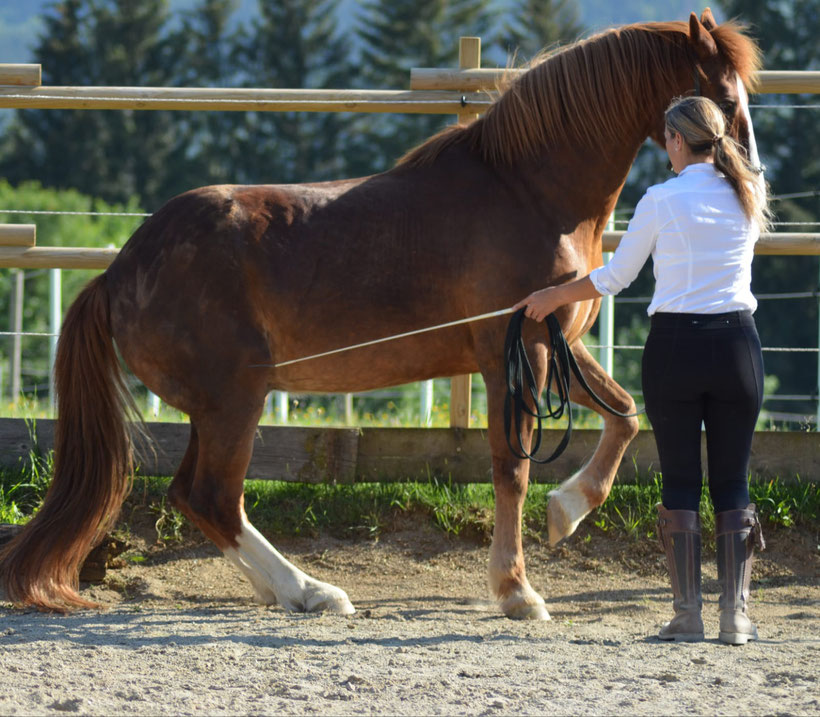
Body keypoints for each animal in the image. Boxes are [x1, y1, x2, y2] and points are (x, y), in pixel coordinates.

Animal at [0, 9, 764, 616]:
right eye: (723, 95)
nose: (750, 177)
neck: (526, 188)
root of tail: (120, 269)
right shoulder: (513, 353)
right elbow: (510, 469)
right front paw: (517, 591)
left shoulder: (550, 342)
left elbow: (625, 414)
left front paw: (565, 514)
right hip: (234, 400)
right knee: (211, 496)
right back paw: (311, 591)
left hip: (220, 406)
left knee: (201, 498)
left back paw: (285, 591)